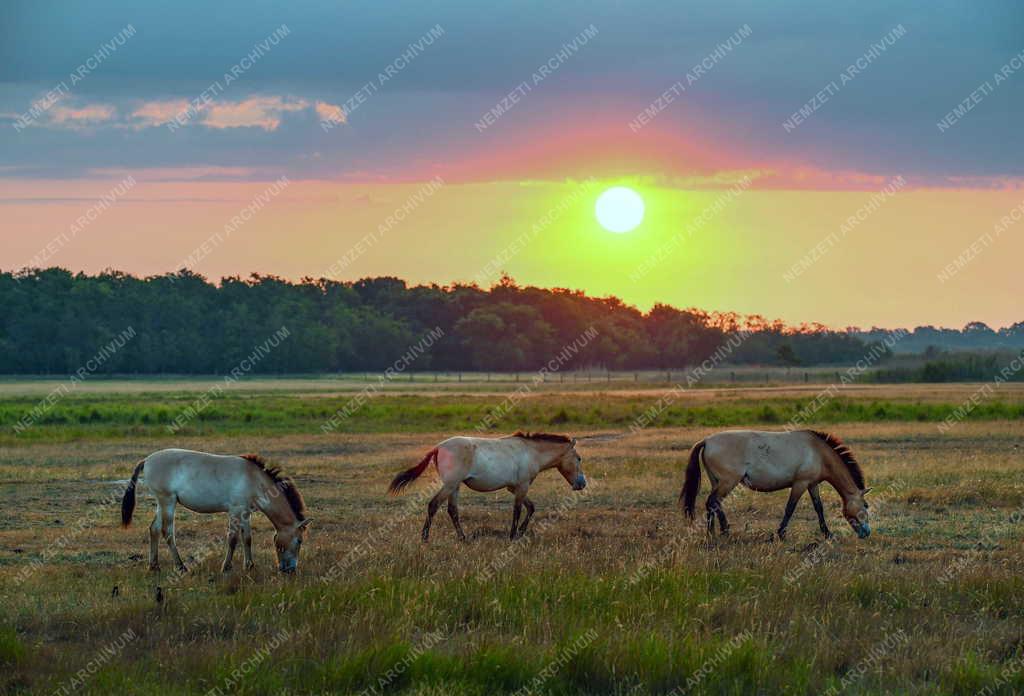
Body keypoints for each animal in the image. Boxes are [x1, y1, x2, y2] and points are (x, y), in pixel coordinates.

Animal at [120, 448, 311, 573]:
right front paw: (226, 567)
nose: (290, 570)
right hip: (168, 502)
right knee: (167, 532)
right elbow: (233, 539)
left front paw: (249, 566)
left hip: (162, 503)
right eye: (299, 540)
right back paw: (181, 567)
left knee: (154, 529)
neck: (253, 479)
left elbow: (247, 538)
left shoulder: (245, 513)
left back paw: (154, 566)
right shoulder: (235, 511)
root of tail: (146, 460)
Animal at [679, 431, 872, 540]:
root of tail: (707, 440)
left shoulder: (812, 484)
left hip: (718, 482)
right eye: (865, 505)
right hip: (728, 482)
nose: (867, 532)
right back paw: (714, 533)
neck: (818, 452)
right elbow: (790, 508)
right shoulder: (800, 484)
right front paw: (780, 534)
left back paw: (721, 531)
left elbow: (819, 508)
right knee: (712, 502)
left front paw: (827, 533)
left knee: (715, 504)